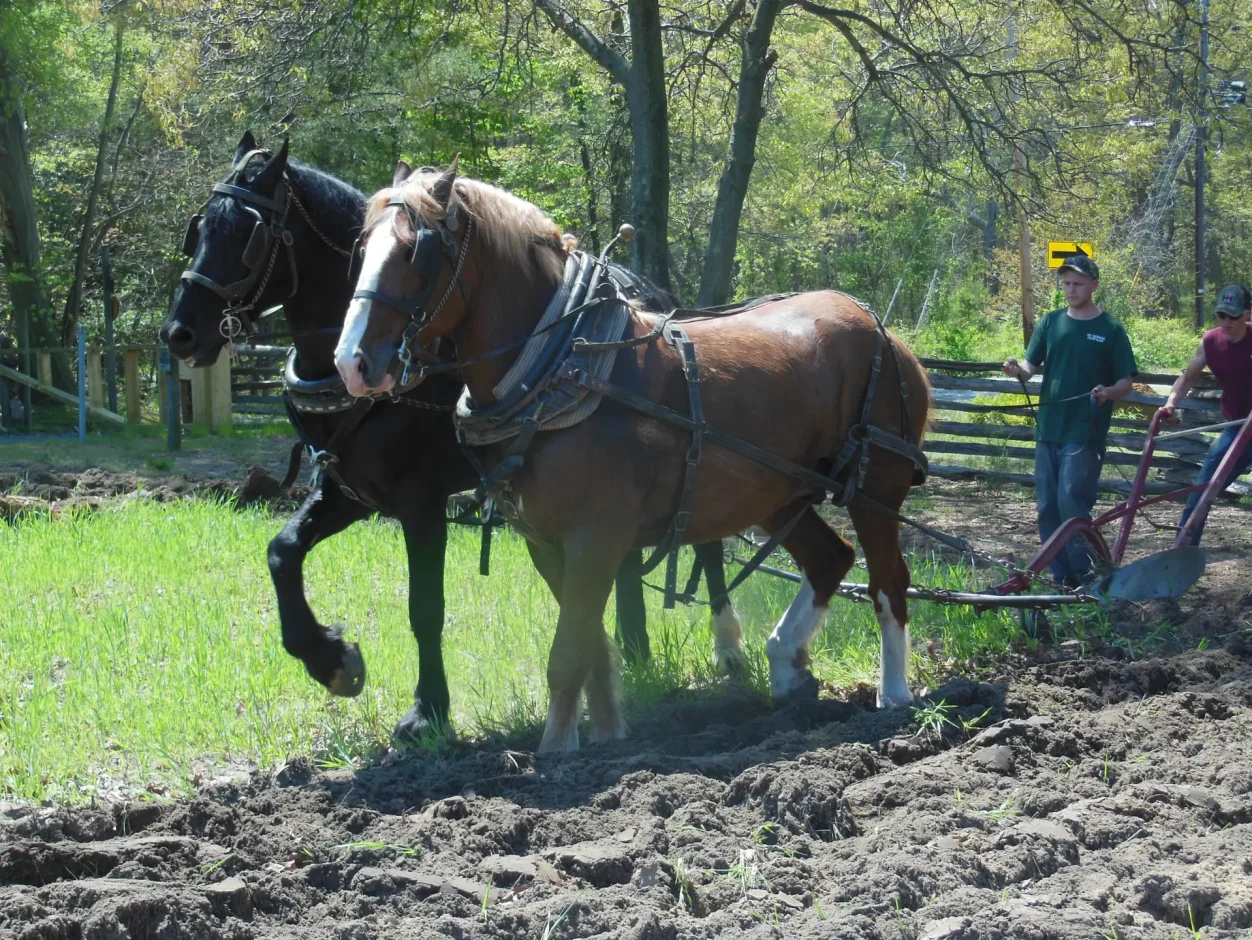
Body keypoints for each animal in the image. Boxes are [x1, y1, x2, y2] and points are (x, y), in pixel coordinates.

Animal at [160, 135, 743, 742]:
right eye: (198, 228)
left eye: (245, 235)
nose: (179, 332)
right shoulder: (349, 490)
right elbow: (282, 552)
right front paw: (333, 660)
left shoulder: (420, 500)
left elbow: (425, 606)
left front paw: (427, 710)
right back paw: (635, 650)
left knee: (705, 538)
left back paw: (726, 648)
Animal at [333, 165, 931, 753]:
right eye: (362, 247)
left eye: (416, 252)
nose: (352, 363)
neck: (563, 370)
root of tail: (881, 330)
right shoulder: (546, 544)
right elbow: (592, 648)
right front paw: (605, 737)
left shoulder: (595, 537)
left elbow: (568, 653)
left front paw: (556, 753)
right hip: (777, 493)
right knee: (831, 558)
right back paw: (785, 664)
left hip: (875, 486)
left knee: (888, 581)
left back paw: (895, 696)